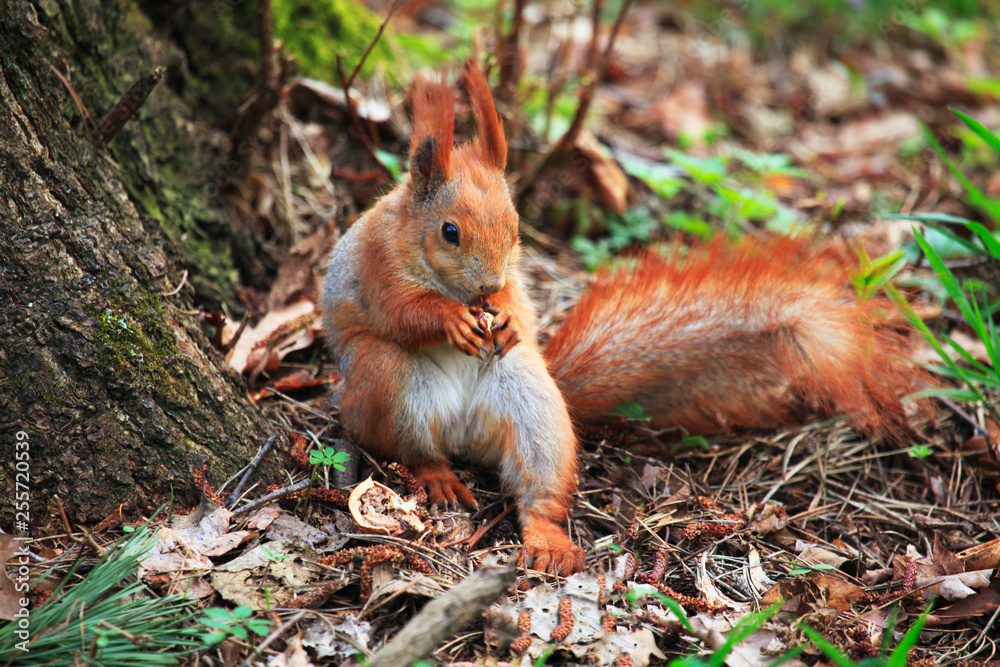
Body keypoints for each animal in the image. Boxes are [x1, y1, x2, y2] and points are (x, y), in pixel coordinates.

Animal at [321, 62, 923, 576]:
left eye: (516, 227)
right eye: (449, 232)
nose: (488, 288)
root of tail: (463, 436)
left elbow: (523, 304)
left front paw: (509, 316)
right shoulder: (377, 264)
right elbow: (402, 311)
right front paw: (449, 319)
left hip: (534, 402)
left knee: (539, 492)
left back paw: (548, 543)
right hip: (386, 382)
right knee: (410, 447)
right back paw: (439, 476)